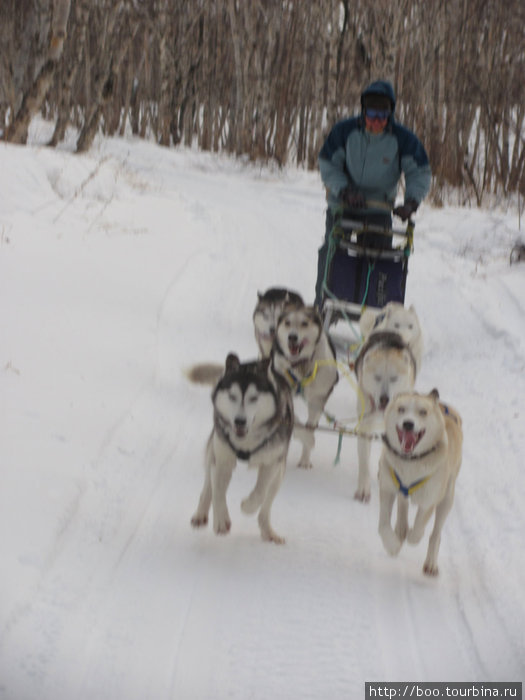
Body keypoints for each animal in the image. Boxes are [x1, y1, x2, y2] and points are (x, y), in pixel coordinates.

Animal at [189, 352, 294, 544]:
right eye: (232, 396)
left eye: (254, 398)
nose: (239, 421)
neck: (246, 441)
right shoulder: (222, 458)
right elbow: (218, 490)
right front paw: (221, 520)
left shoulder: (271, 463)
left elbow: (260, 492)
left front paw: (247, 506)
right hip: (212, 452)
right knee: (208, 486)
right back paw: (201, 513)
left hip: (279, 473)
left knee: (266, 505)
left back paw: (268, 531)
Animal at [270, 306, 336, 470]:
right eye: (287, 322)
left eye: (304, 323)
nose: (292, 337)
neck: (300, 365)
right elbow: (297, 424)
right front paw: (307, 438)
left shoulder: (317, 399)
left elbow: (310, 425)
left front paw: (305, 458)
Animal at [352, 330, 418, 500]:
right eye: (377, 377)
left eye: (394, 378)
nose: (384, 398)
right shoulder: (365, 424)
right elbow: (364, 458)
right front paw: (363, 487)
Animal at [376, 388, 462, 576]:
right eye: (401, 409)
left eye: (423, 412)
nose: (408, 424)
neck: (411, 461)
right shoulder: (387, 488)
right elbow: (384, 524)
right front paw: (392, 545)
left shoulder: (429, 499)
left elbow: (419, 528)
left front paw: (412, 536)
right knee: (403, 501)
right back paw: (401, 527)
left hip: (446, 499)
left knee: (435, 534)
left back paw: (430, 563)